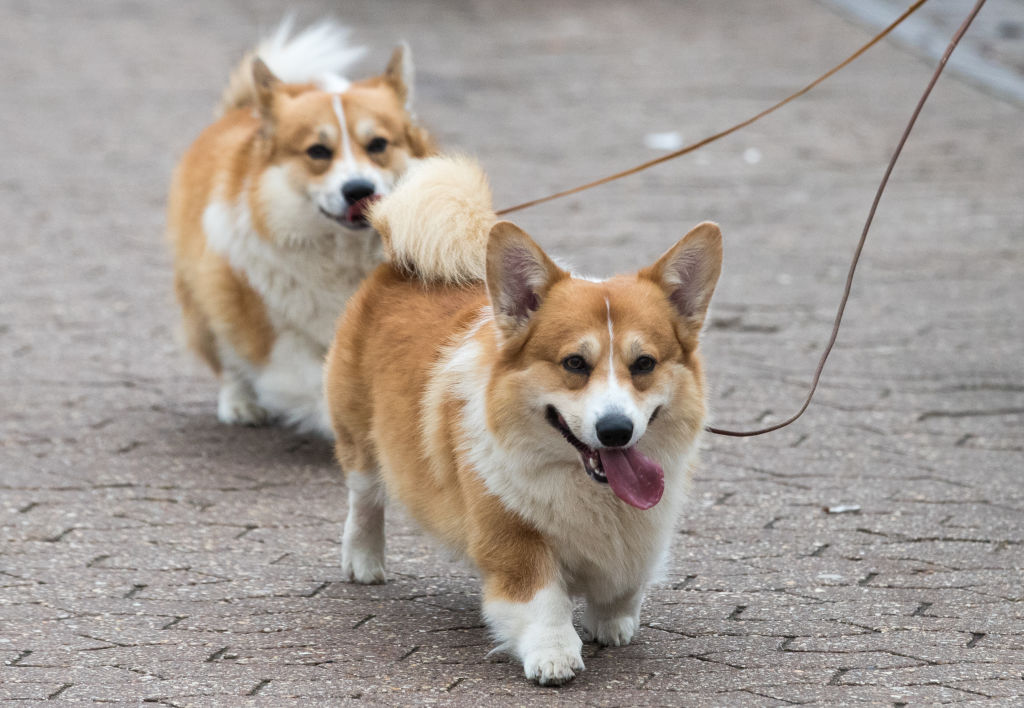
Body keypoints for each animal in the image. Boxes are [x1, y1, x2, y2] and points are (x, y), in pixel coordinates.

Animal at [167, 19, 432, 434]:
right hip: (209, 295)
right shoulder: (275, 337)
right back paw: (239, 403)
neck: (341, 253)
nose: (359, 189)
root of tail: (242, 110)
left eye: (378, 145)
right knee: (226, 357)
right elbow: (315, 381)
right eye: (318, 152)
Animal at [323, 156, 724, 688]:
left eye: (644, 364)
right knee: (365, 498)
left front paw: (612, 622)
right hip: (360, 439)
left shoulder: (646, 529)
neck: (585, 486)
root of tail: (397, 263)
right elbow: (542, 600)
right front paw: (554, 656)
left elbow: (626, 580)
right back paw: (364, 561)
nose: (615, 430)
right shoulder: (511, 535)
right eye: (574, 363)